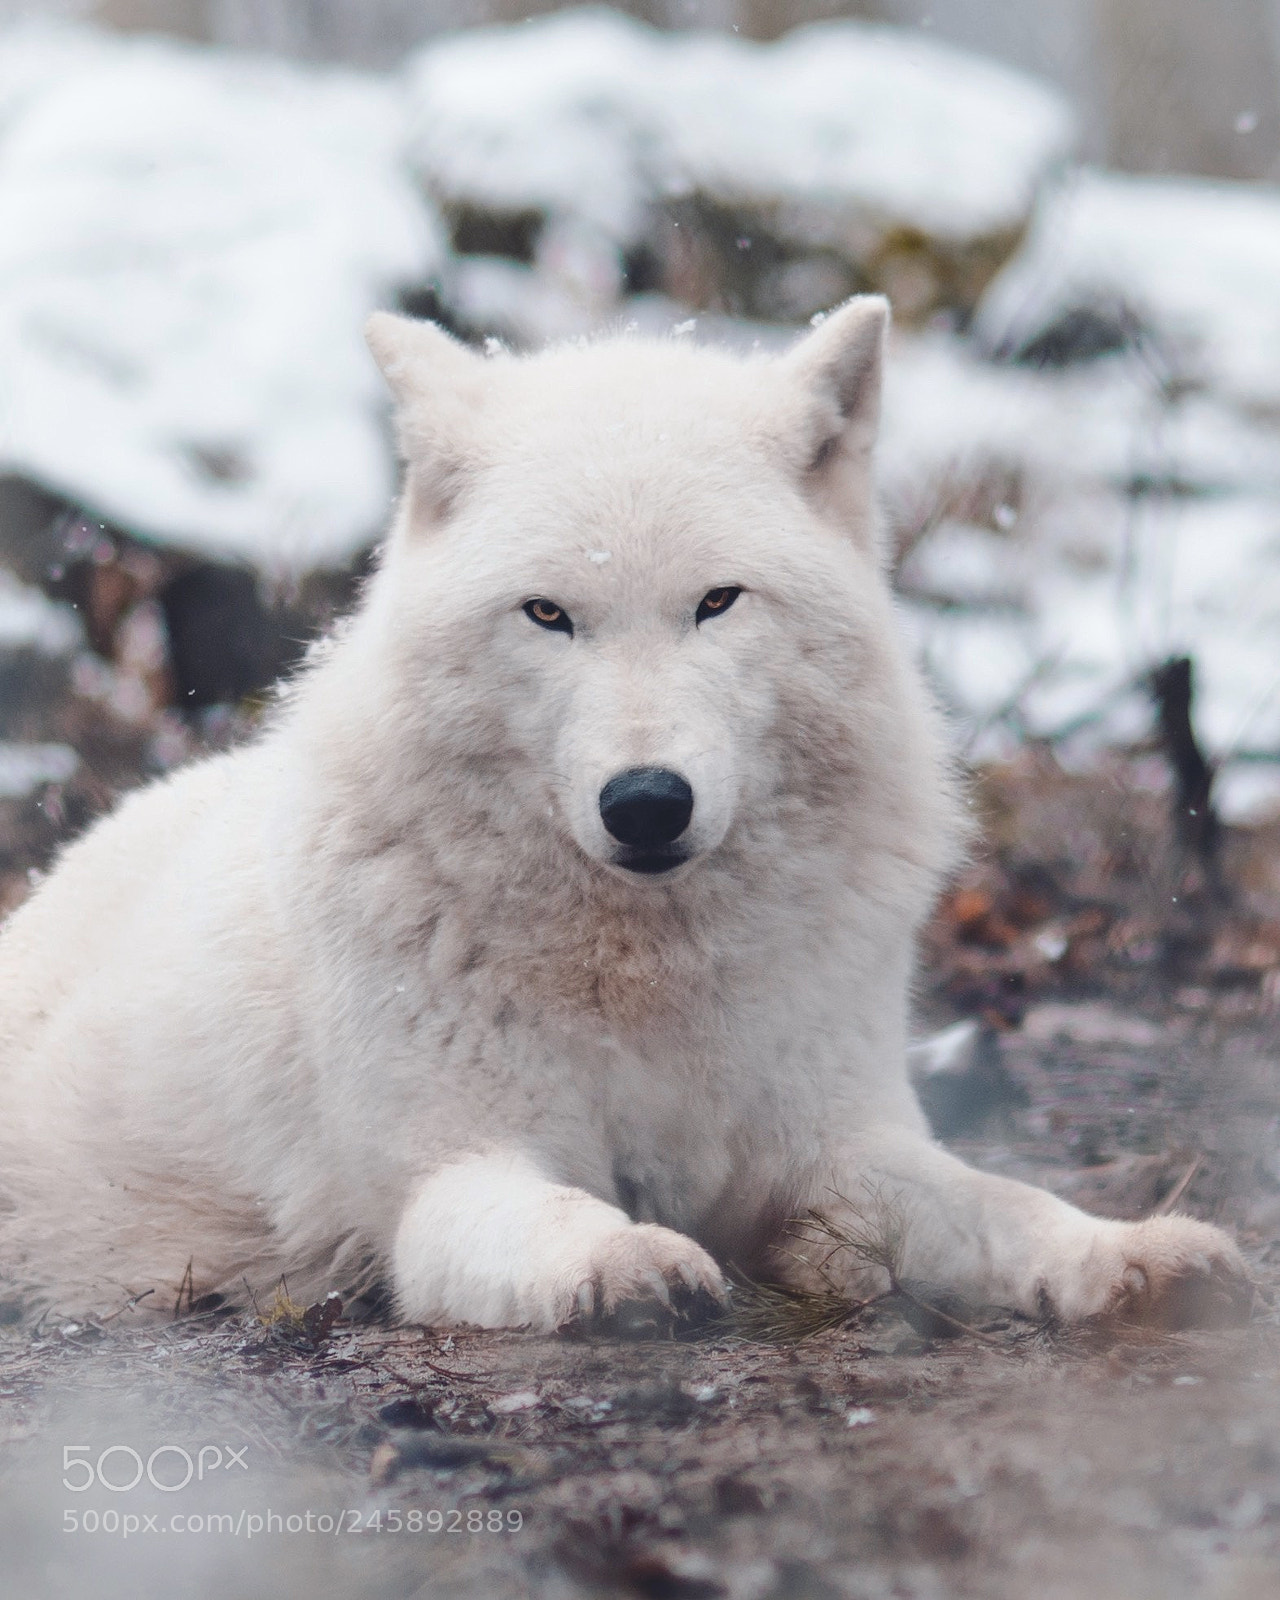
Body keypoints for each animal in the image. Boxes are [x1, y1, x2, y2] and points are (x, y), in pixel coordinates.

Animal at [0, 300, 1249, 1331]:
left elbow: (1000, 1202)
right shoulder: (449, 1176)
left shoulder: (838, 1147)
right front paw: (629, 1265)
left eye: (717, 602)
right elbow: (559, 1218)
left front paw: (1129, 1254)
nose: (646, 803)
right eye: (548, 614)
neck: (649, 972)